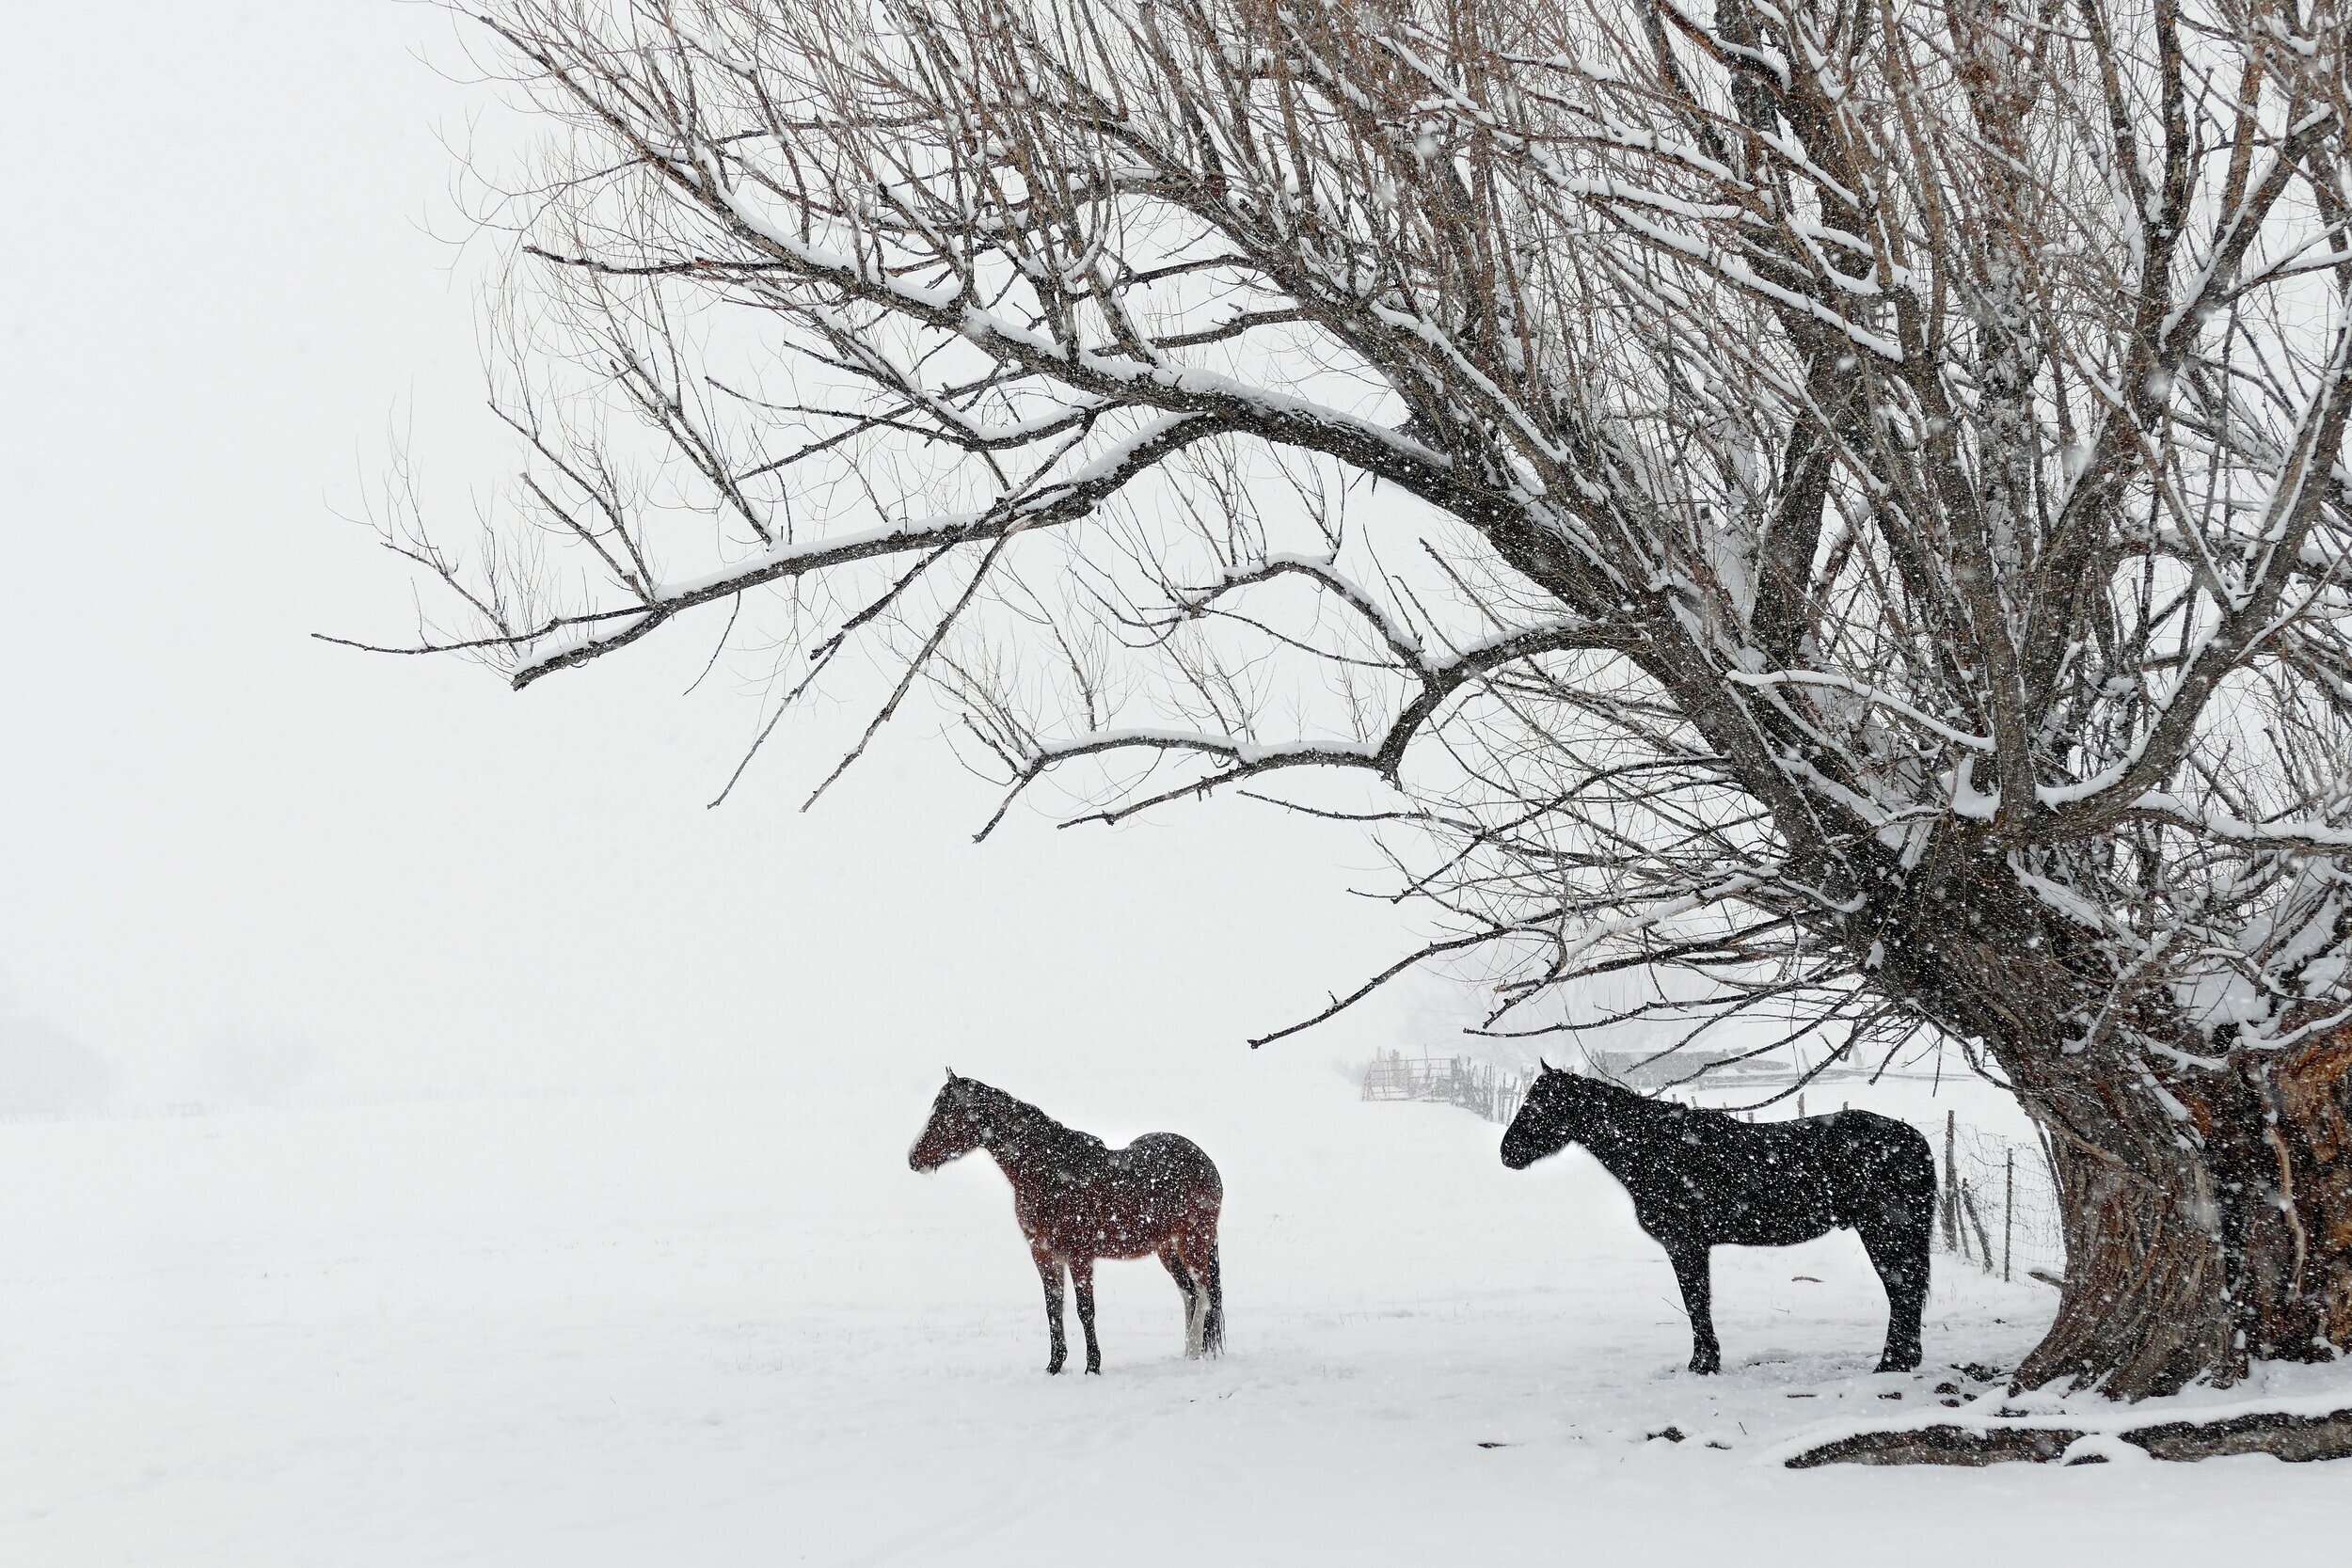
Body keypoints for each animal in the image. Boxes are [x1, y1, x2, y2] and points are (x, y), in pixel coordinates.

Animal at [903, 1071, 1223, 1363]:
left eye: (946, 1114)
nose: (912, 1158)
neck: (1050, 1172)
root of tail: (1206, 1162)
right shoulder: (1044, 1253)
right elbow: (1053, 1309)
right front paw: (1055, 1366)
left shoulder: (1079, 1255)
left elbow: (1085, 1310)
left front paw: (1092, 1367)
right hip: (1167, 1248)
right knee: (1189, 1294)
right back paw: (1187, 1354)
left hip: (1193, 1243)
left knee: (1203, 1294)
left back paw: (1194, 1352)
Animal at [1505, 1067, 1929, 1372]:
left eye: (1541, 1106)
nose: (1506, 1152)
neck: (1657, 1149)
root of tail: (1914, 1138)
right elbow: (1697, 1302)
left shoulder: (1685, 1244)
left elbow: (1696, 1302)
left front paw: (1703, 1364)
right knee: (1905, 1292)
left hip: (1885, 1231)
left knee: (1902, 1291)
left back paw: (1891, 1364)